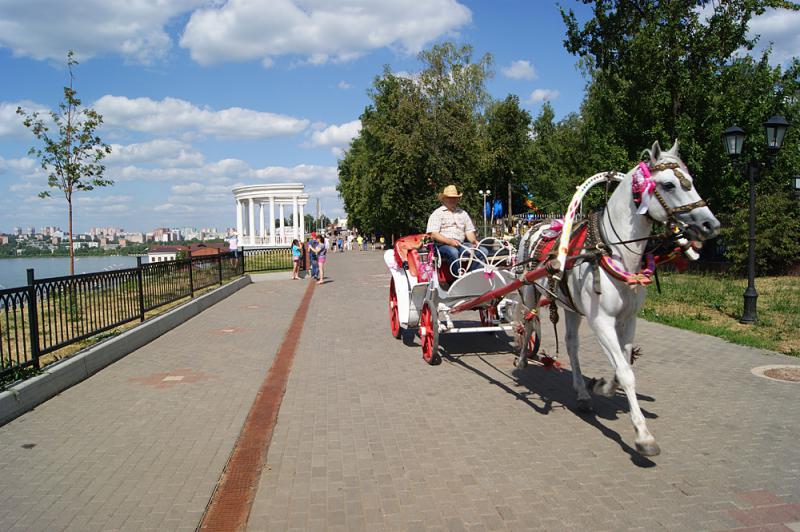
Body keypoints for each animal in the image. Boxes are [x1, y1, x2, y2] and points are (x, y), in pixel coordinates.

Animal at [516, 141, 720, 458]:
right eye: (669, 184)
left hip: (571, 305)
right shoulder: (602, 321)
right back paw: (524, 359)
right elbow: (626, 373)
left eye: (692, 181)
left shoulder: (628, 319)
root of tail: (536, 227)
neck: (612, 251)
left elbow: (623, 363)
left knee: (572, 344)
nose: (711, 224)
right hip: (529, 292)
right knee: (528, 324)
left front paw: (601, 385)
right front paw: (643, 436)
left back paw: (582, 392)